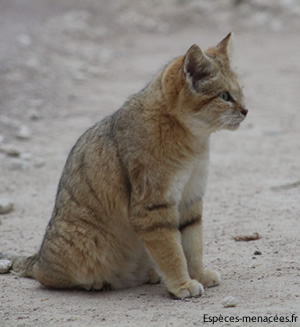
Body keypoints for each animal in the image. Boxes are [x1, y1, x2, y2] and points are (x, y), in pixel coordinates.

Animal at [1, 34, 247, 300]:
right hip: (83, 245)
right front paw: (183, 284)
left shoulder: (190, 199)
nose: (246, 110)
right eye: (224, 96)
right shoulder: (153, 207)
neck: (192, 140)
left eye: (241, 92)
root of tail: (38, 257)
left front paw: (198, 274)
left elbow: (192, 246)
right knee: (45, 277)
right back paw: (95, 283)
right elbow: (172, 252)